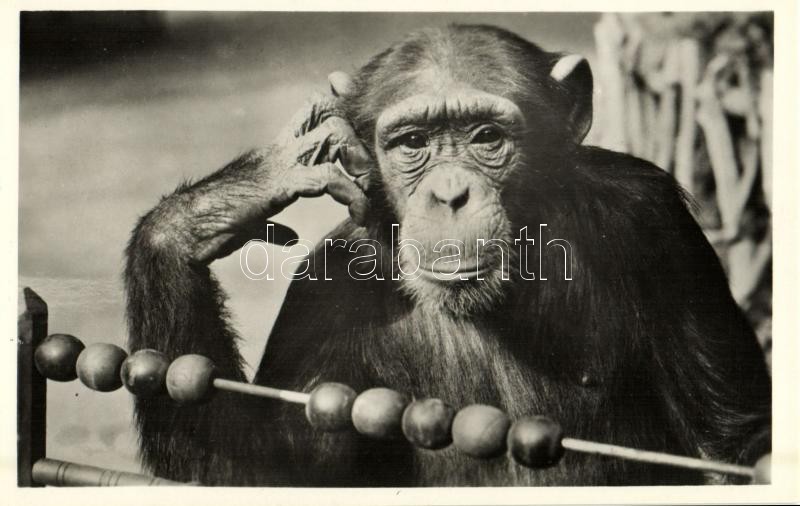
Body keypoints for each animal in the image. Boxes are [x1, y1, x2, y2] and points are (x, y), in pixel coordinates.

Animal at [125, 24, 771, 486]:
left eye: (486, 137)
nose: (451, 193)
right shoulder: (324, 287)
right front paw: (226, 202)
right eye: (414, 142)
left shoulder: (655, 222)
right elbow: (260, 467)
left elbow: (730, 441)